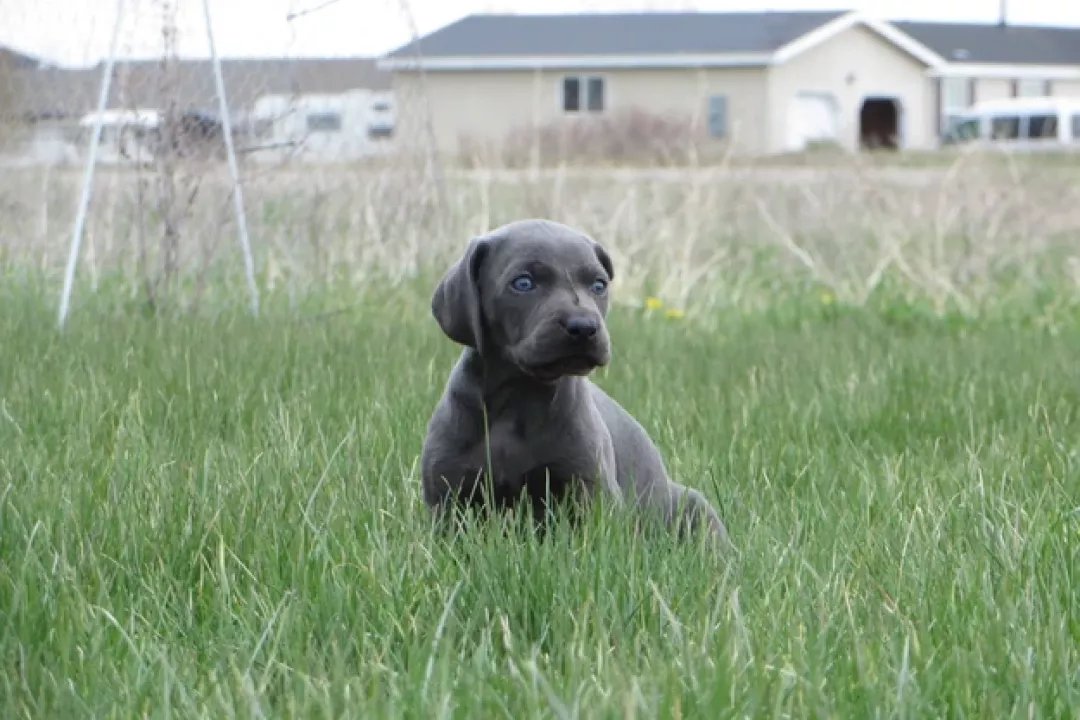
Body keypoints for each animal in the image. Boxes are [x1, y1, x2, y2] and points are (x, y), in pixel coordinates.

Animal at [416, 216, 730, 548]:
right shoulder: (449, 496)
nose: (584, 328)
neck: (520, 394)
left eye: (598, 285)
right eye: (523, 283)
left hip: (693, 506)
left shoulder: (590, 491)